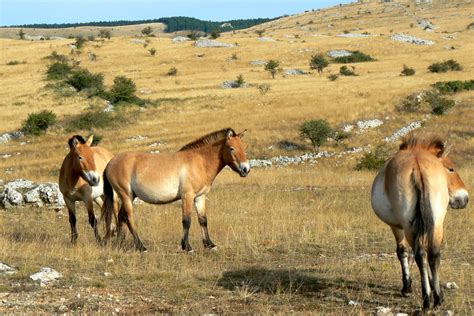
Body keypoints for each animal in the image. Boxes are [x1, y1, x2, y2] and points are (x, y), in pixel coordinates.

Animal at [102, 127, 250, 253]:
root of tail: (110, 162)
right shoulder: (187, 196)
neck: (199, 162)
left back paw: (120, 243)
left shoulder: (200, 197)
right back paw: (141, 247)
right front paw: (187, 247)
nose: (246, 169)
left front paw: (210, 245)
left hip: (131, 196)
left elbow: (203, 220)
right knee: (129, 218)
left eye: (244, 147)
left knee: (121, 217)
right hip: (126, 195)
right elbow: (187, 221)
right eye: (231, 148)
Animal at [372, 135, 468, 310]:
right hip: (437, 224)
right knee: (433, 254)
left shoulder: (397, 227)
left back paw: (427, 300)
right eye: (451, 169)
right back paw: (437, 298)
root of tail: (417, 165)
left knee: (420, 255)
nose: (464, 198)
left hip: (410, 227)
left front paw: (407, 288)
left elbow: (403, 252)